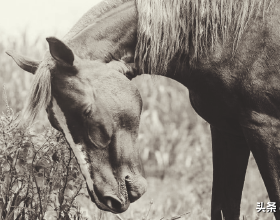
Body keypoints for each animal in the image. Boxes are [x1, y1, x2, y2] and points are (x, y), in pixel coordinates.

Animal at [6, 0, 280, 219]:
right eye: (55, 123)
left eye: (86, 111)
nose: (104, 199)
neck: (234, 37)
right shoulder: (226, 130)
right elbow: (223, 207)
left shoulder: (264, 128)